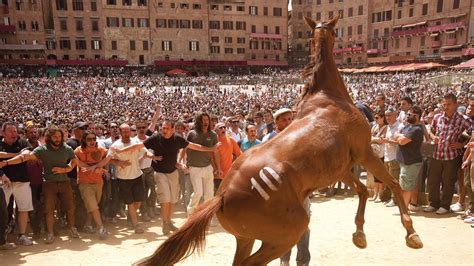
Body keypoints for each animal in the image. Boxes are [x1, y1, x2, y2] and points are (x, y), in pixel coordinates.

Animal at [136, 15, 422, 264]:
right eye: (335, 31)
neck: (328, 96)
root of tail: (222, 196)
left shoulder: (342, 167)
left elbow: (362, 189)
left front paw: (359, 234)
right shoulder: (364, 151)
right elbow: (393, 183)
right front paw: (411, 232)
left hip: (246, 238)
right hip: (286, 233)